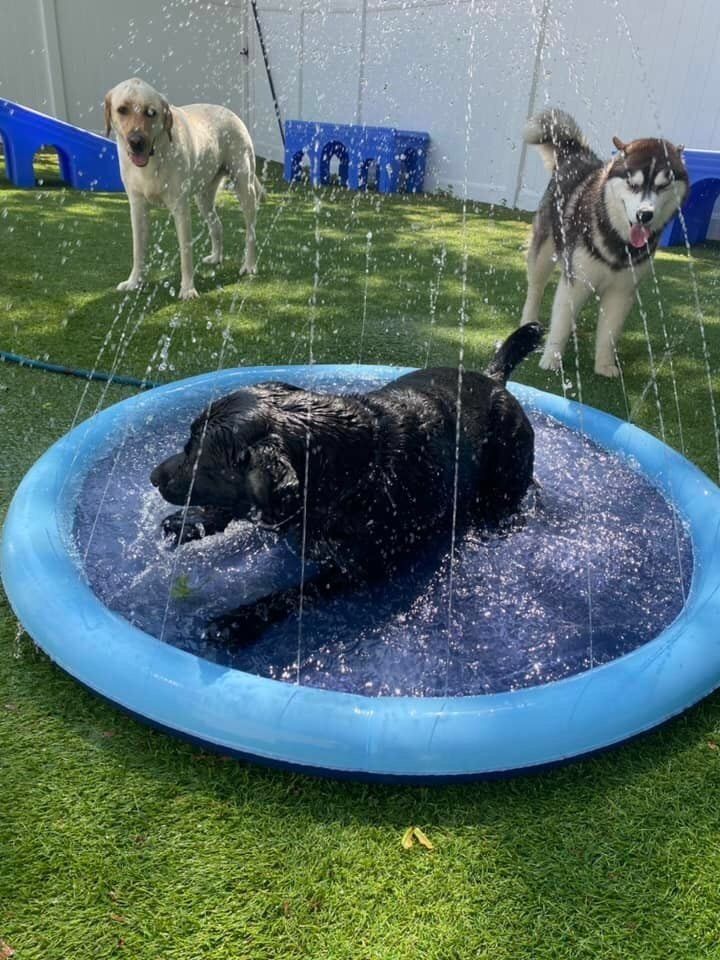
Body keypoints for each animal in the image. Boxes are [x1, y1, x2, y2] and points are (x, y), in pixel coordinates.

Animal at [104, 77, 260, 300]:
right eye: (122, 110)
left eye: (151, 112)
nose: (136, 142)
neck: (155, 156)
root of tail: (231, 113)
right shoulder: (137, 207)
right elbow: (138, 250)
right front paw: (134, 282)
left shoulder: (180, 208)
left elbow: (185, 253)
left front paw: (187, 289)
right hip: (203, 197)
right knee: (217, 225)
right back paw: (216, 257)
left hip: (244, 187)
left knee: (251, 231)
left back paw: (249, 265)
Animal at [150, 323, 543, 645]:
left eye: (195, 454)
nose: (153, 478)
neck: (356, 467)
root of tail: (494, 381)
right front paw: (192, 521)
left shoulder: (358, 570)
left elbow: (295, 592)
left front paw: (239, 620)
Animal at [520, 108, 688, 376]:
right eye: (633, 184)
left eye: (663, 186)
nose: (645, 214)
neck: (618, 240)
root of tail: (576, 154)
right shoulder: (575, 281)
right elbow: (560, 324)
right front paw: (551, 359)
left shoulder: (622, 291)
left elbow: (608, 334)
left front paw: (604, 365)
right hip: (543, 254)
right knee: (536, 288)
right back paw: (528, 321)